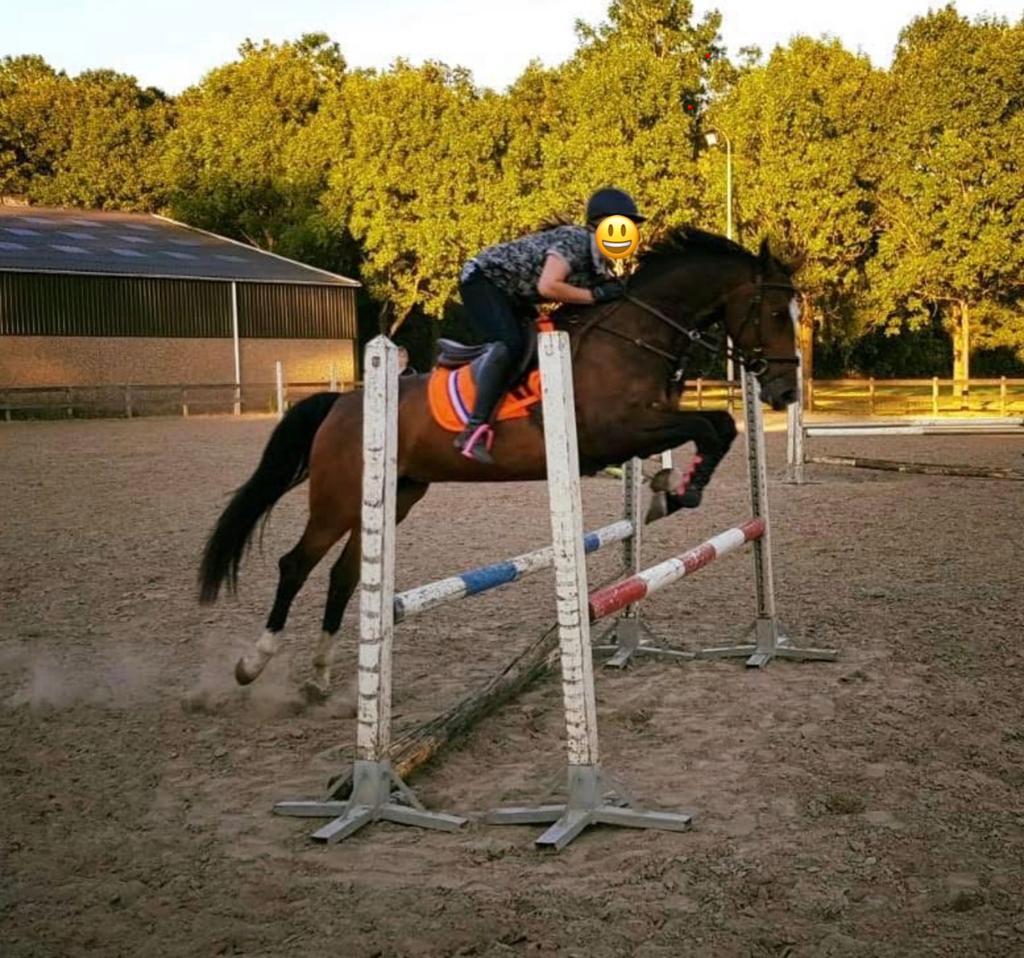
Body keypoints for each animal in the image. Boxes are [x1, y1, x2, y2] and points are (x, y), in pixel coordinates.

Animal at [198, 227, 803, 698]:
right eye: (776, 312)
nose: (786, 390)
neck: (634, 334)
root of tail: (344, 402)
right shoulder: (612, 433)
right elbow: (708, 426)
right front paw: (678, 488)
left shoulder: (644, 422)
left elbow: (719, 427)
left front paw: (671, 488)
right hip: (338, 499)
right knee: (295, 565)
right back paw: (253, 664)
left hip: (397, 495)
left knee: (346, 576)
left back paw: (321, 676)